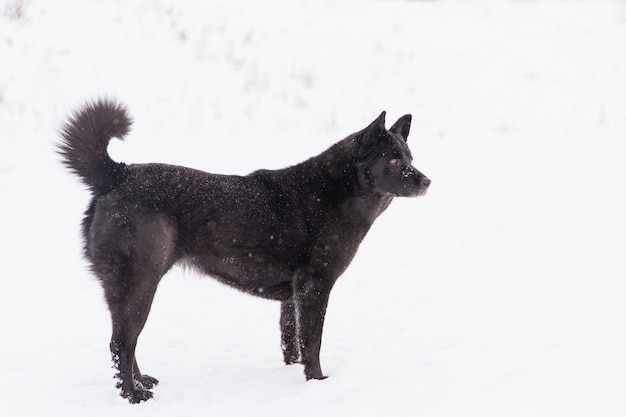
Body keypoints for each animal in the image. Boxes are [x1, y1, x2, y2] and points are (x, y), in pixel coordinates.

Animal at [57, 99, 428, 402]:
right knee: (121, 343)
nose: (427, 181)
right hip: (139, 282)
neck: (335, 192)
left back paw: (142, 382)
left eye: (410, 156)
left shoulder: (293, 295)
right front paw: (318, 383)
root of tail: (117, 174)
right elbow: (313, 342)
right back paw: (133, 396)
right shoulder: (315, 286)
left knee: (126, 341)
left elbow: (292, 341)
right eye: (394, 160)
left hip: (135, 287)